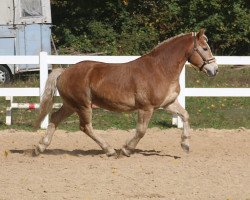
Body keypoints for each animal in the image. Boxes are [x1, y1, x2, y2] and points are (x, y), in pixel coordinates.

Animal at [34, 28, 218, 157]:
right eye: (204, 48)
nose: (214, 70)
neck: (160, 69)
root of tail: (64, 72)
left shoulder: (167, 103)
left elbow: (185, 115)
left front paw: (185, 145)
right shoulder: (146, 108)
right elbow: (141, 130)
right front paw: (126, 149)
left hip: (71, 105)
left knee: (55, 118)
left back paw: (40, 147)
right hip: (83, 106)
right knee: (85, 127)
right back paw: (109, 150)